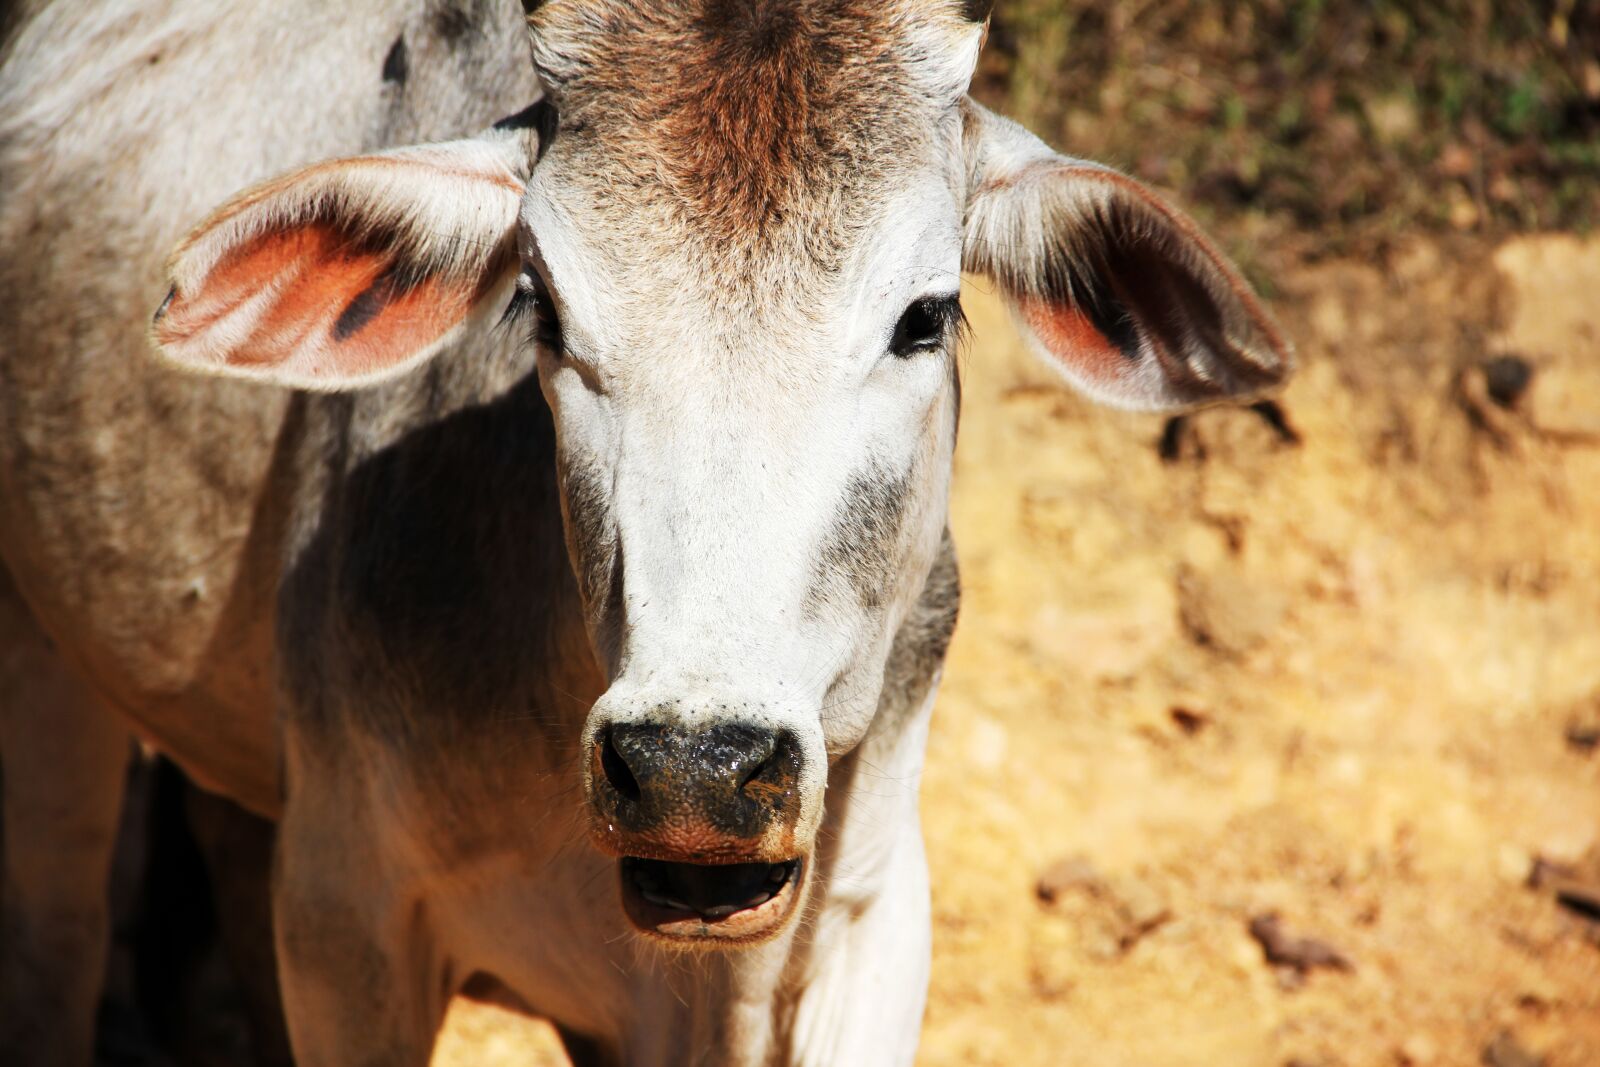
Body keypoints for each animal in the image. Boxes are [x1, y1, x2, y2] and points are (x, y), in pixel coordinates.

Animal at [0, 1, 1291, 1064]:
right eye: (542, 306)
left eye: (924, 318)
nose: (695, 768)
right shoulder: (344, 919)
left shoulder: (872, 925)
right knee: (58, 934)